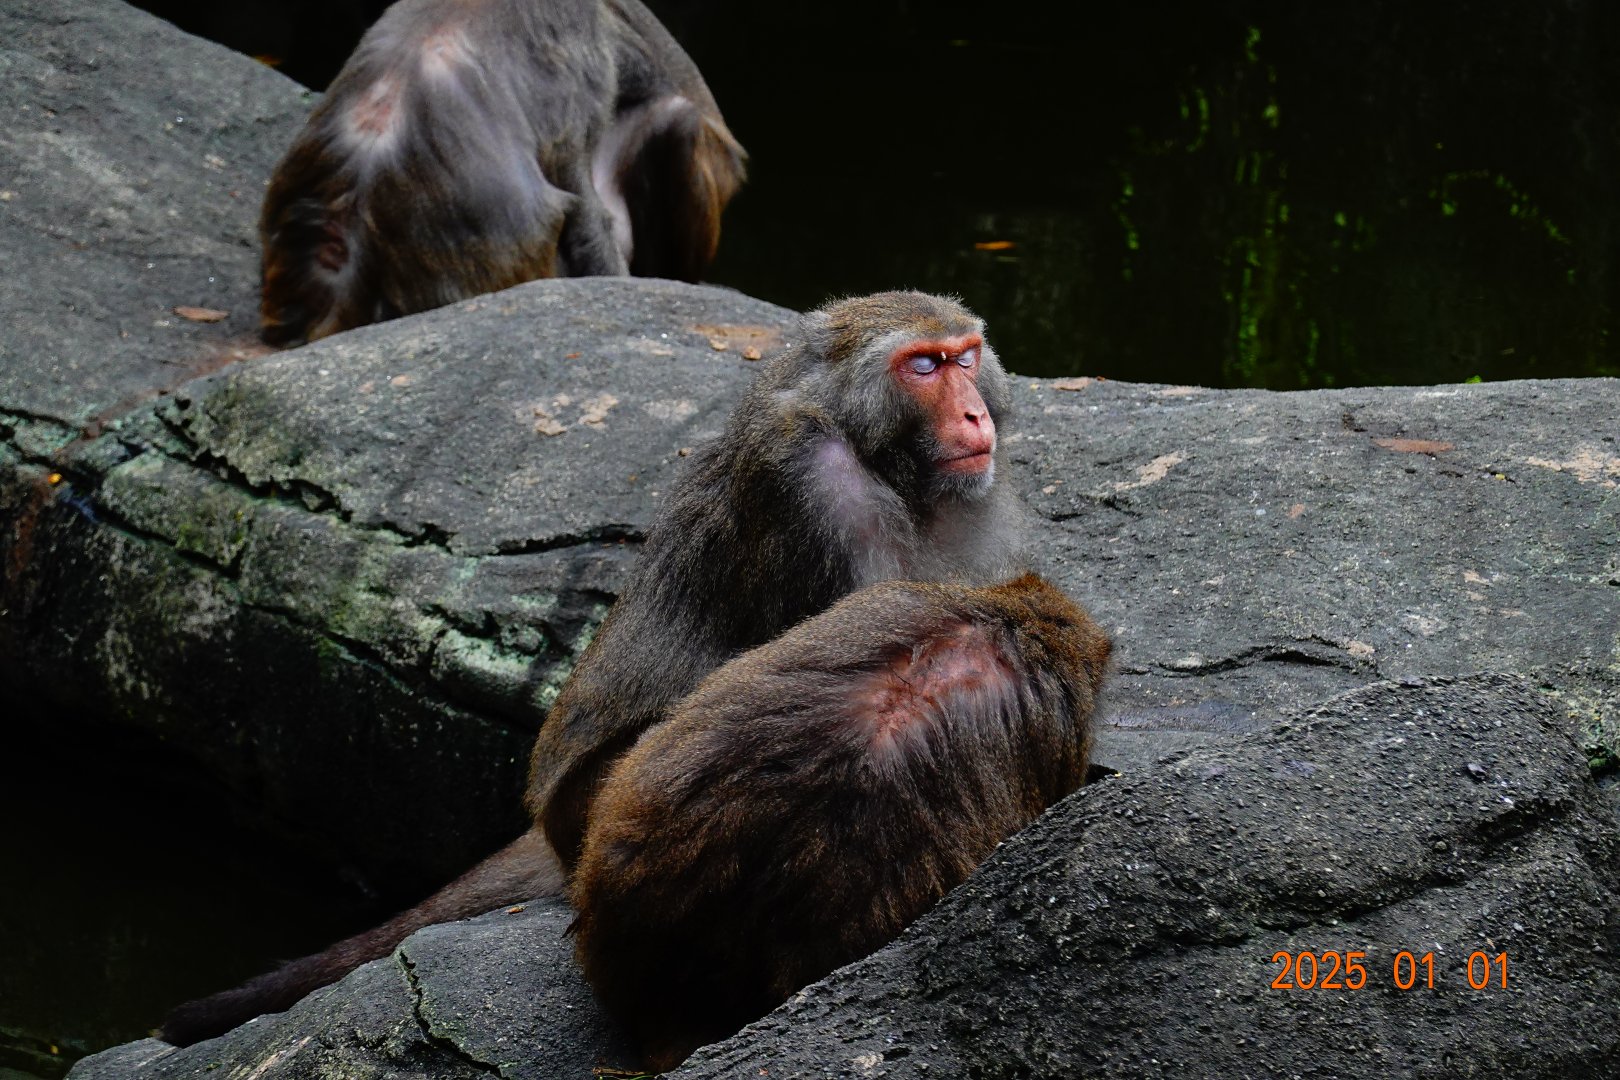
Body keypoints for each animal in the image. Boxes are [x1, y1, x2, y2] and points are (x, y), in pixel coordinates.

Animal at [160, 291, 1022, 1046]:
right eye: (923, 366)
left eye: (965, 357)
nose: (974, 414)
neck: (877, 455)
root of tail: (549, 829)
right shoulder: (808, 483)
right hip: (594, 812)